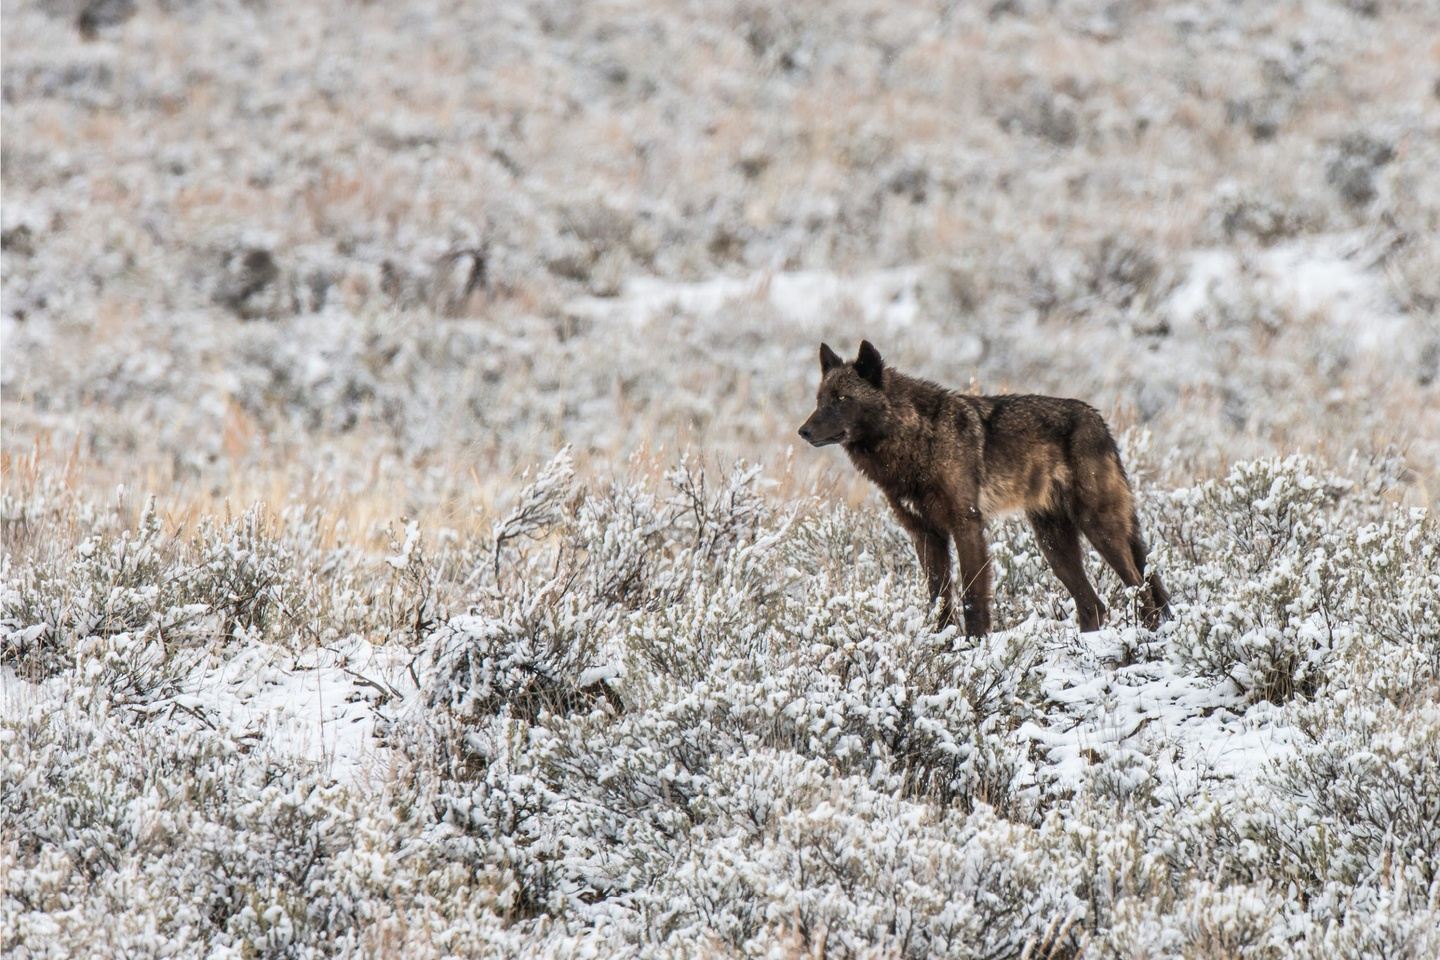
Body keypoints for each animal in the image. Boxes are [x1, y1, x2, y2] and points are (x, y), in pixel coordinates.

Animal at [798, 340, 1171, 637]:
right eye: (819, 399)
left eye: (842, 398)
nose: (803, 431)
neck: (915, 441)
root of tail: (1099, 420)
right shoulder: (926, 535)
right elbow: (938, 599)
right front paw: (942, 647)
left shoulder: (967, 525)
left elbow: (973, 596)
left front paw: (974, 646)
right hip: (1054, 546)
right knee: (1094, 603)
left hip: (1098, 529)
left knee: (1140, 589)